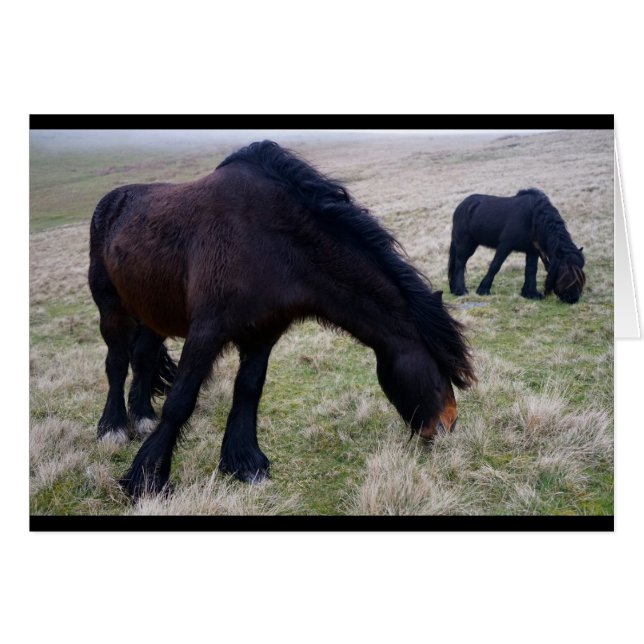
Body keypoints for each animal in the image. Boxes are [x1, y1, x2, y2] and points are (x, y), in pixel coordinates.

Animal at [89, 140, 475, 499]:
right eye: (439, 368)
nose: (448, 424)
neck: (270, 243)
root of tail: (112, 201)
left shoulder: (263, 334)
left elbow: (248, 392)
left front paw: (245, 463)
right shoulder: (206, 331)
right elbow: (180, 400)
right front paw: (147, 478)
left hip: (153, 314)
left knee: (143, 358)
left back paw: (142, 417)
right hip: (112, 309)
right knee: (117, 363)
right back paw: (113, 429)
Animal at [448, 189, 586, 304]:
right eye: (564, 273)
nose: (573, 298)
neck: (533, 218)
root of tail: (461, 206)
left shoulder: (533, 251)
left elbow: (531, 270)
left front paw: (530, 293)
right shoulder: (505, 245)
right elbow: (495, 266)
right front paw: (483, 290)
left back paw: (455, 289)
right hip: (465, 244)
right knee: (460, 264)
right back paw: (461, 290)